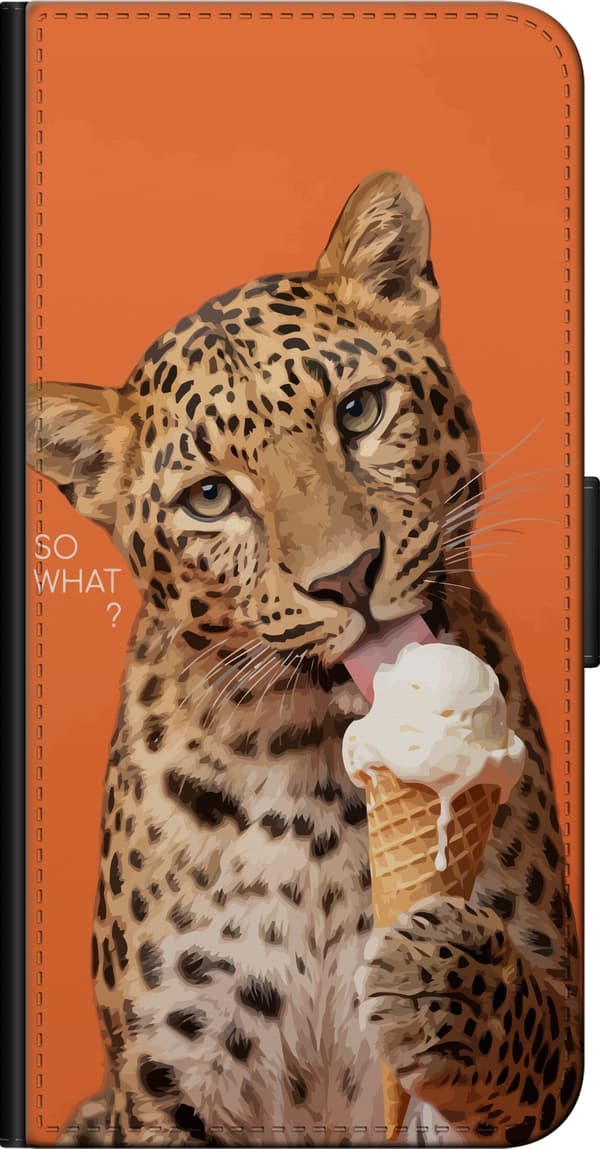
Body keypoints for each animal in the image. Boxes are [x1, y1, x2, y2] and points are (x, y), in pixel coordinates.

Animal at [28, 171, 581, 1147]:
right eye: (211, 498)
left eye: (358, 412)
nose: (348, 577)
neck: (321, 767)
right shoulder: (165, 1084)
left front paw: (446, 969)